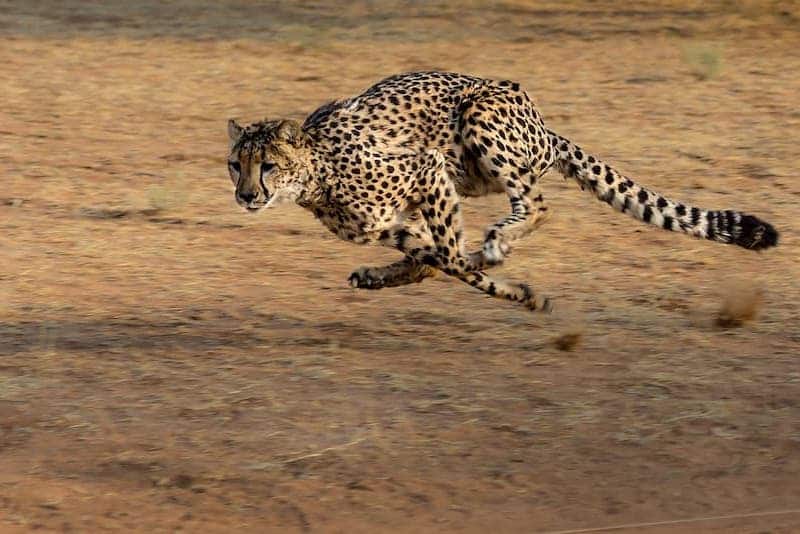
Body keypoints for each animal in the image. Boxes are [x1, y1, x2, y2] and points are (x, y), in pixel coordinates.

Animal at [226, 71, 778, 312]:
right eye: (236, 165)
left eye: (267, 166)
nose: (246, 196)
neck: (316, 174)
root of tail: (544, 125)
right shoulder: (391, 224)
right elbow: (437, 259)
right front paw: (514, 288)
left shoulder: (426, 168)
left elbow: (451, 257)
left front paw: (515, 287)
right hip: (469, 174)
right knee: (440, 254)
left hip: (479, 120)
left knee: (536, 204)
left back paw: (496, 242)